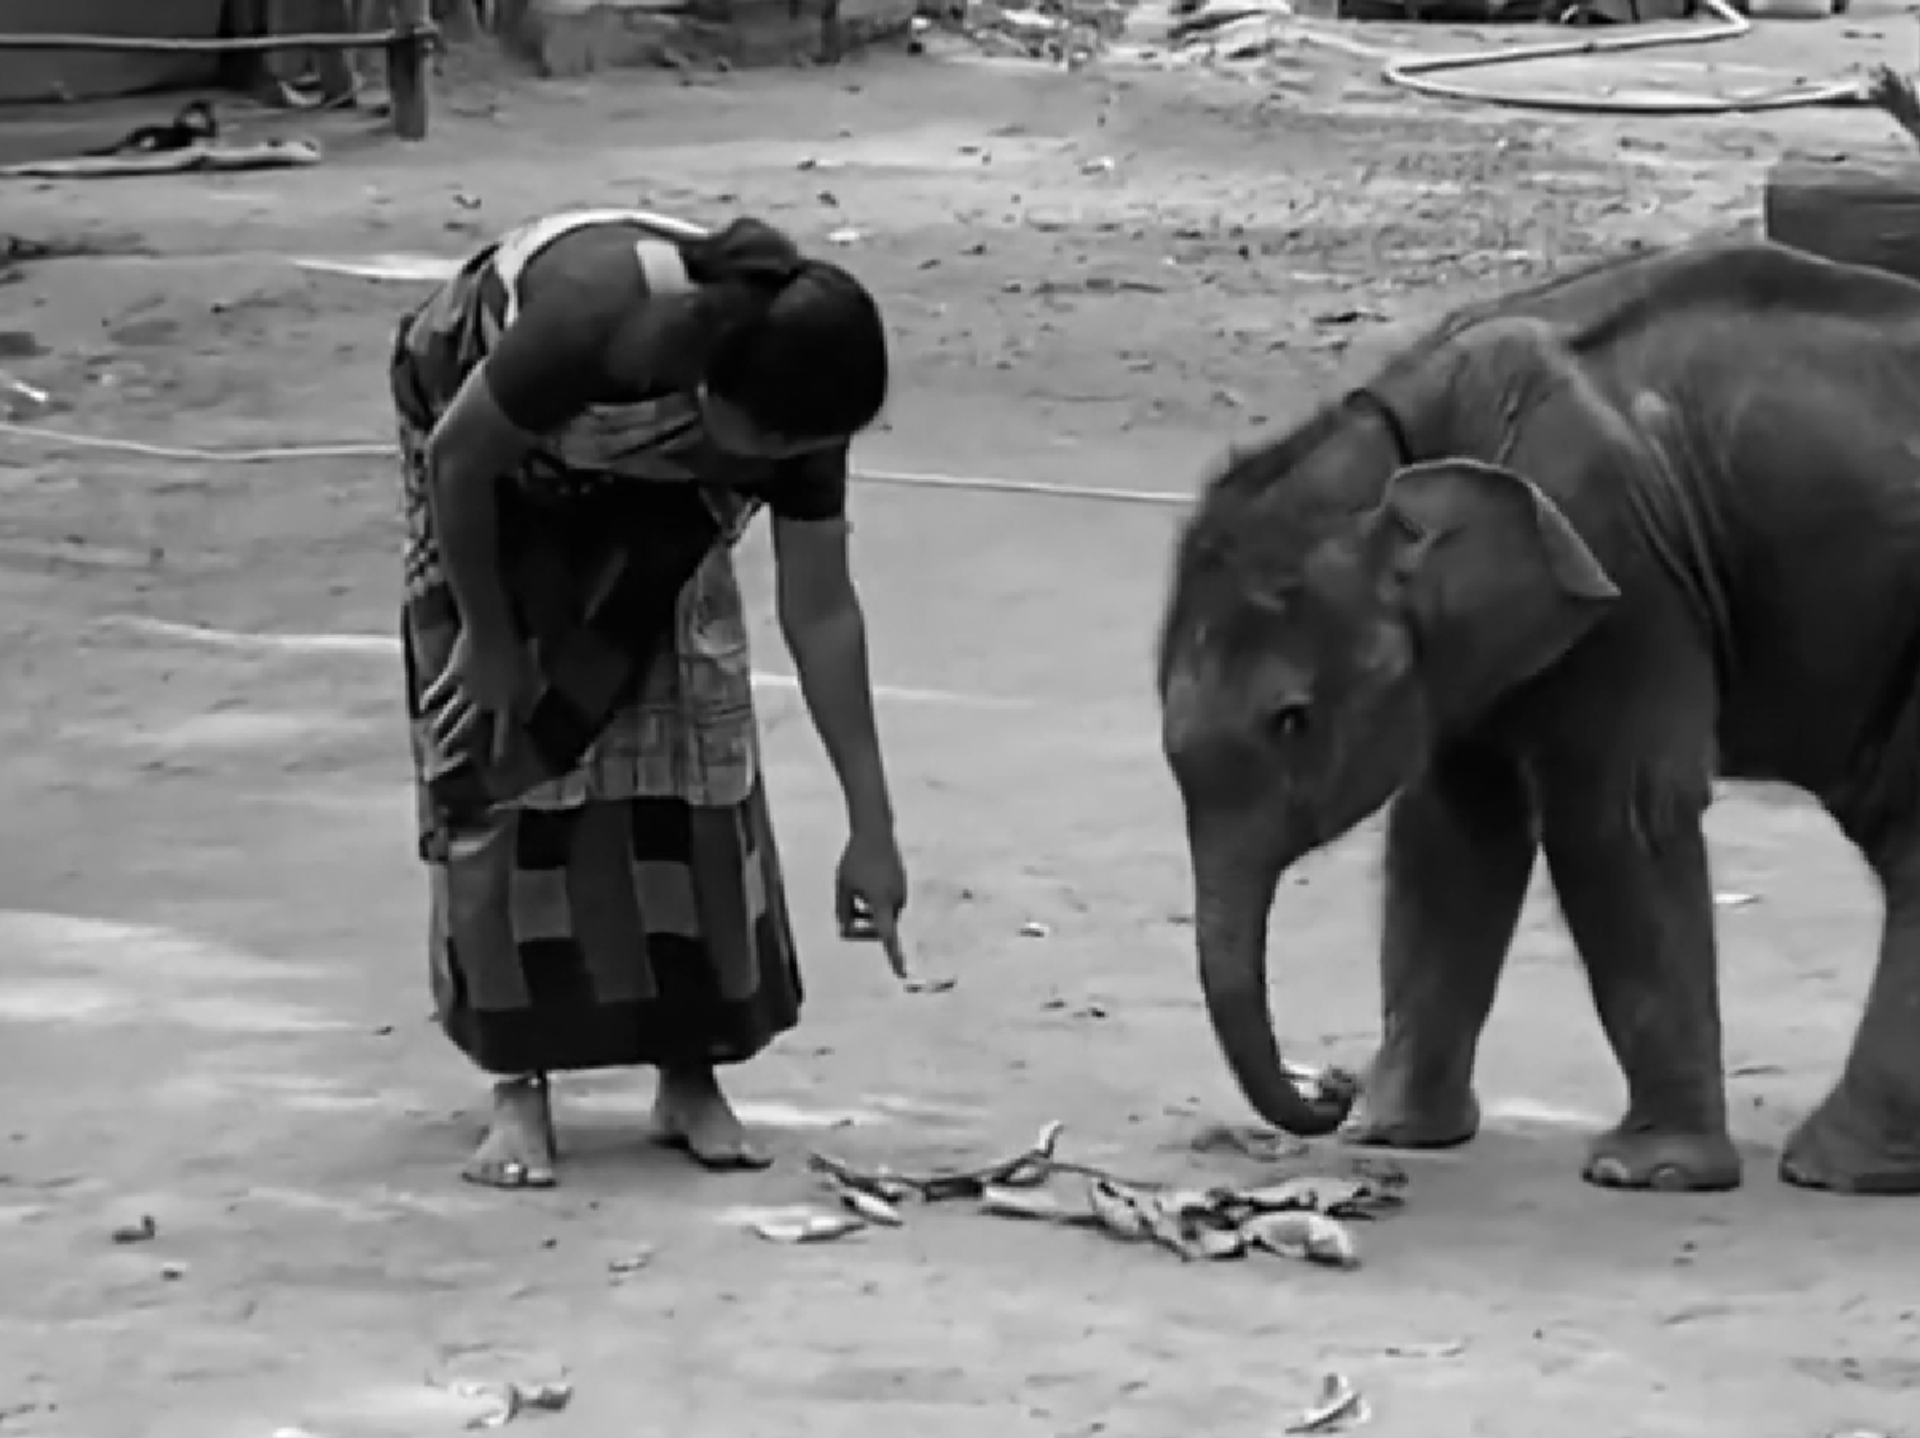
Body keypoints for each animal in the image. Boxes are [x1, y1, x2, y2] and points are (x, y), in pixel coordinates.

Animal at [1155, 237, 1920, 1197]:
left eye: (1290, 720)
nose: (1327, 1083)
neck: (1399, 432)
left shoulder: (1625, 571)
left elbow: (1616, 819)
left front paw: (1647, 1174)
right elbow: (1455, 827)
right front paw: (1398, 1133)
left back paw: (1833, 1170)